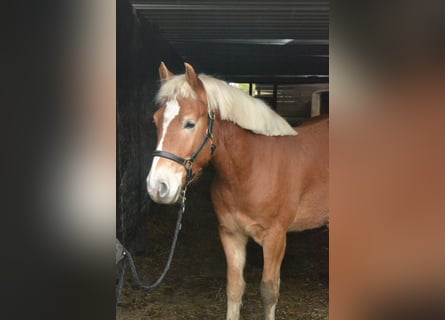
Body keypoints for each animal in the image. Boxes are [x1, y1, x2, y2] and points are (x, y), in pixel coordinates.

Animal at [147, 62, 328, 320]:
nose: (157, 186)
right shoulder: (231, 234)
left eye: (190, 123)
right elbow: (234, 288)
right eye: (156, 121)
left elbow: (269, 291)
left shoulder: (275, 238)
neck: (250, 168)